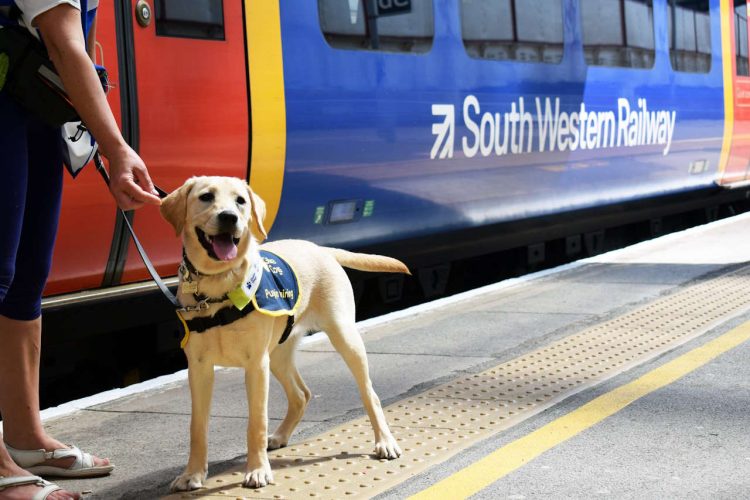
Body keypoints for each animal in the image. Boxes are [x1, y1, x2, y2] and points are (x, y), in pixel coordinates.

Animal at [162, 178, 408, 490]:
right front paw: (192, 474)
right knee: (301, 394)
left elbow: (256, 421)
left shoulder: (256, 365)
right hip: (278, 353)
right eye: (206, 197)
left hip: (344, 337)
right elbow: (197, 426)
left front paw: (257, 471)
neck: (219, 286)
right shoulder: (199, 367)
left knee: (370, 394)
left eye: (241, 201)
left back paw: (385, 442)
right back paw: (280, 436)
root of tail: (321, 248)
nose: (229, 217)